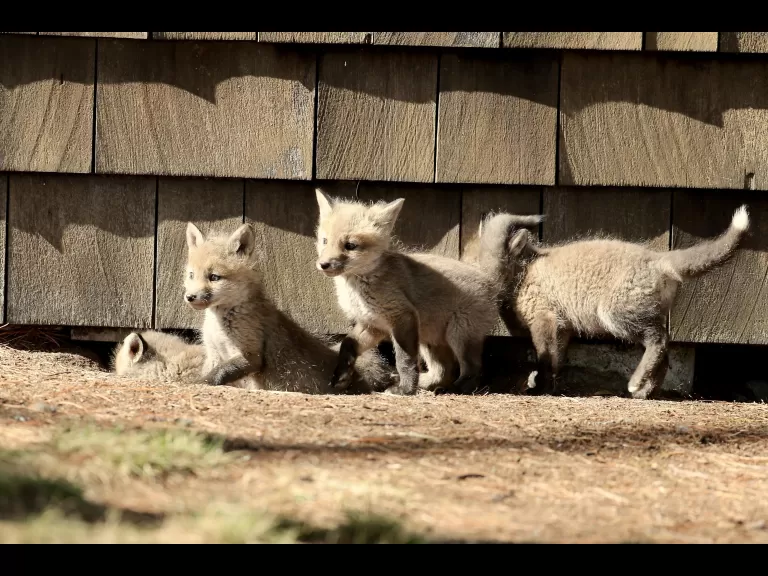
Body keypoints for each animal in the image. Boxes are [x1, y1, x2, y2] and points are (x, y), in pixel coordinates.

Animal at [183, 221, 397, 394]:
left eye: (214, 277)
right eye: (192, 275)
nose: (190, 297)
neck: (219, 323)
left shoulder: (250, 354)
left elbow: (217, 374)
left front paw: (197, 383)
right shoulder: (213, 353)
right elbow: (213, 371)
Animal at [313, 188, 519, 396]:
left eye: (350, 245)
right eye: (325, 241)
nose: (323, 264)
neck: (359, 288)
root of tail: (486, 277)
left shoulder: (403, 317)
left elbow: (404, 361)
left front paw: (405, 390)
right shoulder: (373, 325)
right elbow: (347, 344)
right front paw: (341, 376)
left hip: (459, 336)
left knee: (472, 370)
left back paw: (454, 389)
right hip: (430, 341)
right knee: (443, 371)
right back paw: (428, 384)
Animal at [489, 205, 751, 399]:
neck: (526, 270)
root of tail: (659, 260)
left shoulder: (545, 319)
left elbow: (544, 358)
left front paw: (540, 388)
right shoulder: (561, 327)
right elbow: (556, 359)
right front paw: (551, 387)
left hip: (616, 315)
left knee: (659, 340)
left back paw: (635, 383)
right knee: (664, 351)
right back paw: (646, 392)